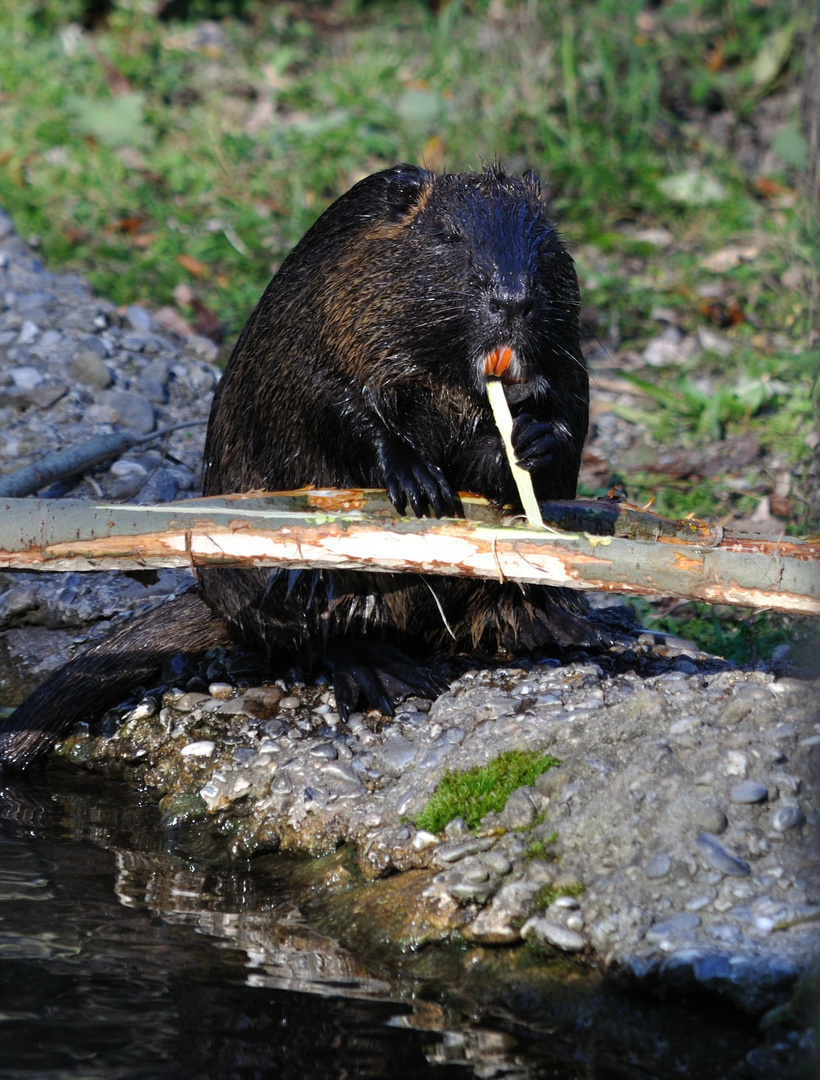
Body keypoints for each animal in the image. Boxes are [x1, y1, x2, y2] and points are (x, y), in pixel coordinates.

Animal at [0, 159, 596, 773]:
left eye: (544, 241)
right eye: (448, 237)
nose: (513, 299)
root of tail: (215, 605)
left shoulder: (566, 346)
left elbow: (565, 405)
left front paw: (531, 438)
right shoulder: (322, 312)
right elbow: (330, 397)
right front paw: (418, 483)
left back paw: (564, 621)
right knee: (322, 631)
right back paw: (381, 663)